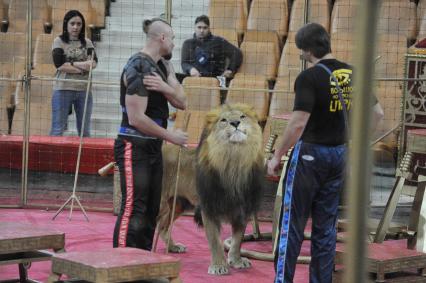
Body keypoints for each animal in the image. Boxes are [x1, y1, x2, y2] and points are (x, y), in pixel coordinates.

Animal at [156, 103, 262, 276]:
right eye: (224, 120)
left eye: (242, 116)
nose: (235, 123)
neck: (234, 161)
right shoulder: (209, 208)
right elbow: (214, 240)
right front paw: (219, 266)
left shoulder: (243, 208)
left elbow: (238, 239)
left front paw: (237, 260)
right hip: (160, 202)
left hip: (178, 203)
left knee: (162, 225)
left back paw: (172, 247)